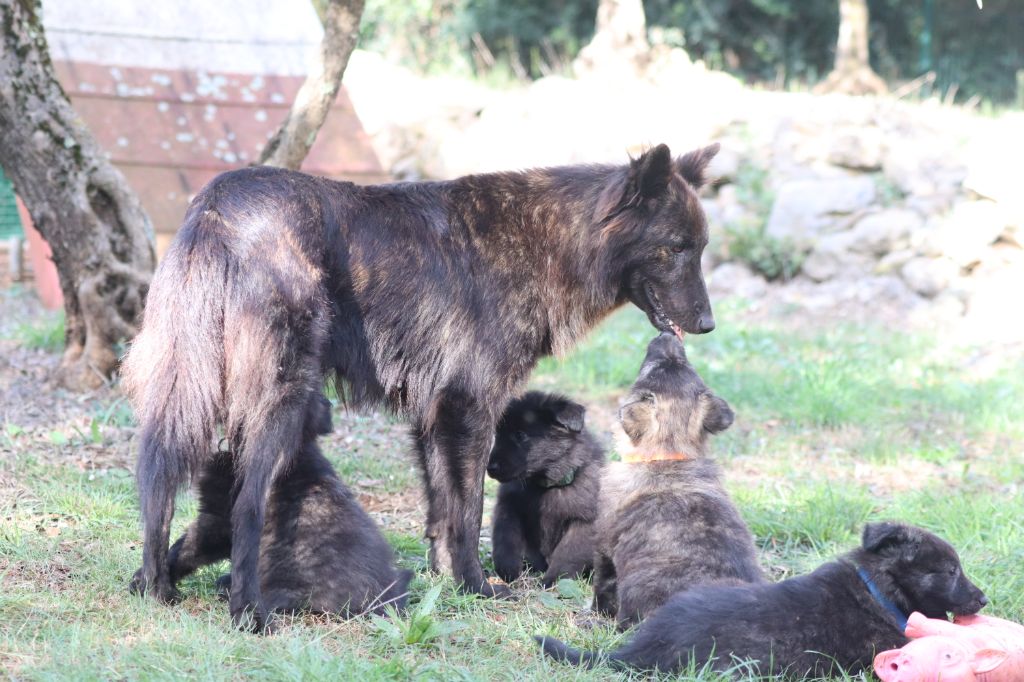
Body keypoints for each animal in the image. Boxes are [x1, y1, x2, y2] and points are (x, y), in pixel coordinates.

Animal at [483, 391, 602, 585]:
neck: (546, 486)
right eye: (497, 435)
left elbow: (567, 553)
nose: (490, 468)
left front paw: (553, 580)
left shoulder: (584, 521)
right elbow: (505, 537)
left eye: (520, 435)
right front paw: (508, 569)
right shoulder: (508, 506)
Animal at [589, 329, 765, 626]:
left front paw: (595, 612)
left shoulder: (604, 546)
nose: (668, 334)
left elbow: (603, 583)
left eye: (652, 369)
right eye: (687, 365)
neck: (668, 455)